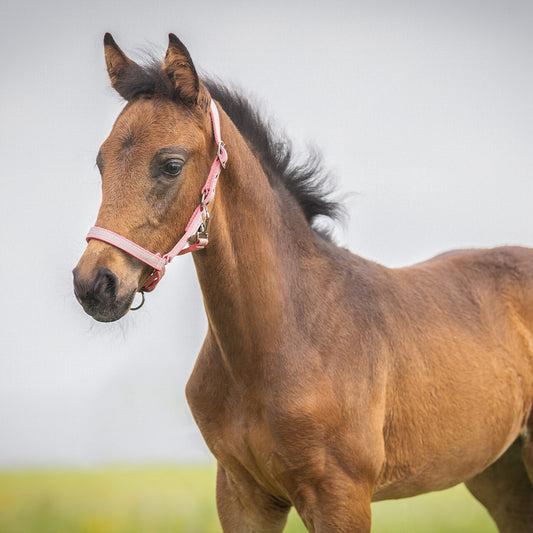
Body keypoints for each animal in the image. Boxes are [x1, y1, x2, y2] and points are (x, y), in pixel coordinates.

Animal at [72, 34, 532, 532]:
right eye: (101, 163)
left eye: (171, 165)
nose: (94, 284)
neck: (282, 338)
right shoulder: (242, 495)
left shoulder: (341, 497)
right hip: (499, 473)